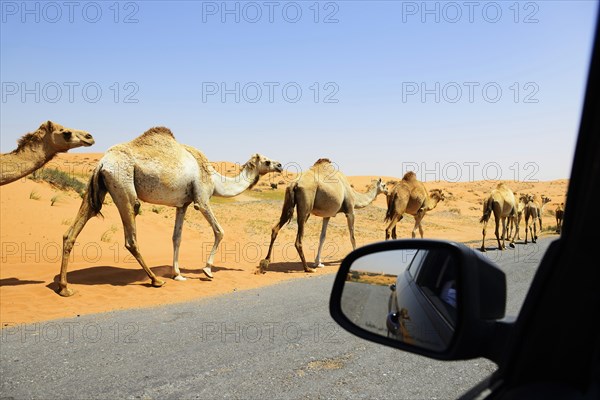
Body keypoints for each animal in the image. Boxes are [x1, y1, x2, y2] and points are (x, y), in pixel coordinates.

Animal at [57, 126, 282, 296]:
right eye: (267, 161)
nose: (280, 164)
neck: (216, 179)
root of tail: (102, 162)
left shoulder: (182, 204)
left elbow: (177, 237)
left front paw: (178, 274)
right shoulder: (201, 199)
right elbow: (219, 231)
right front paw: (207, 270)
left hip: (99, 188)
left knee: (72, 231)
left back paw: (64, 288)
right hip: (124, 186)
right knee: (131, 238)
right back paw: (155, 280)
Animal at [258, 158, 390, 274]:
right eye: (384, 185)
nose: (388, 191)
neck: (355, 196)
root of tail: (295, 183)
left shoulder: (327, 215)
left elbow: (322, 236)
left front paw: (318, 262)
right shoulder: (350, 211)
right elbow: (352, 235)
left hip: (288, 203)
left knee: (275, 228)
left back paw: (265, 262)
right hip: (306, 208)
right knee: (298, 240)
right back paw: (307, 268)